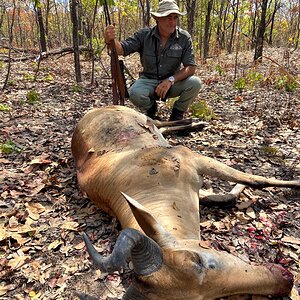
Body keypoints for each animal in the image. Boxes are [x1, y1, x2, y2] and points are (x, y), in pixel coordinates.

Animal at [71, 105, 298, 300]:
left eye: (200, 261)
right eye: (209, 297)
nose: (285, 282)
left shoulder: (190, 157)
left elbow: (256, 179)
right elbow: (232, 193)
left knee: (157, 121)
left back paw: (194, 122)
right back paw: (193, 123)